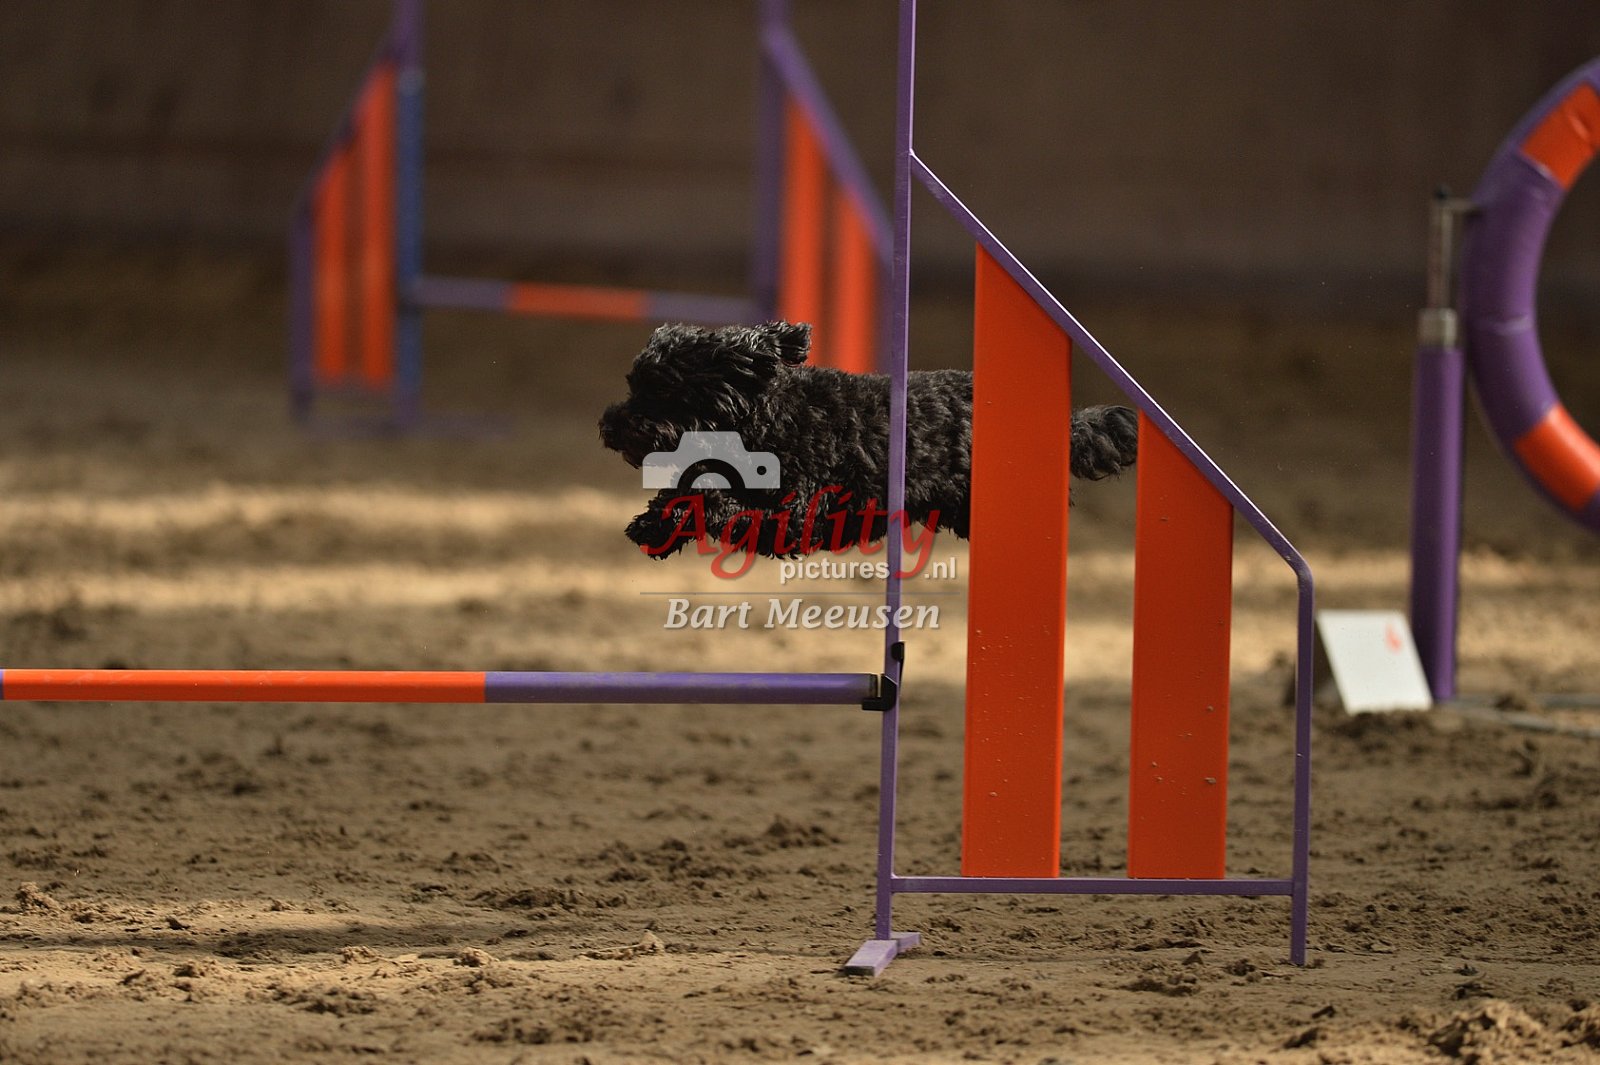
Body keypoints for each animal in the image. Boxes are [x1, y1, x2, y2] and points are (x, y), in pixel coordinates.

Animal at [599, 320, 1139, 559]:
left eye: (662, 388)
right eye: (633, 383)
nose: (610, 426)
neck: (771, 418)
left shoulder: (804, 510)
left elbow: (727, 506)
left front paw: (683, 519)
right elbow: (689, 491)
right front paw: (652, 525)